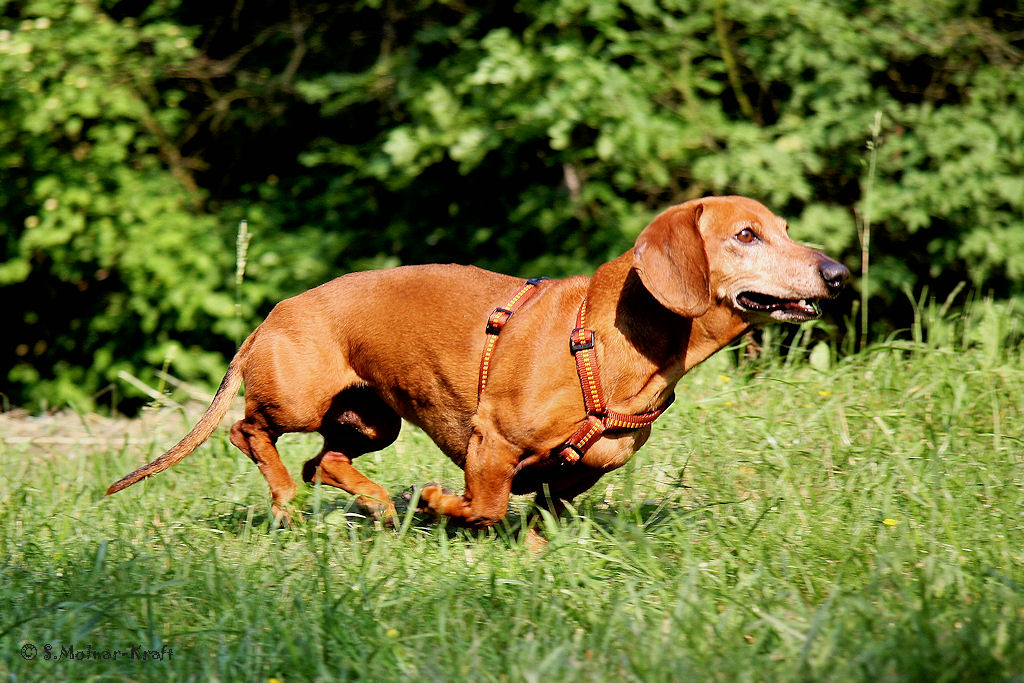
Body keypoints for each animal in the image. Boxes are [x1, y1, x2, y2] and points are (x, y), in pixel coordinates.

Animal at [105, 196, 847, 528]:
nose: (838, 274)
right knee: (250, 432)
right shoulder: (491, 443)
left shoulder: (577, 469)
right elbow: (485, 504)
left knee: (326, 461)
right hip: (299, 397)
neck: (609, 338)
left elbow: (546, 499)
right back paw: (290, 497)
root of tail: (272, 314)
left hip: (373, 422)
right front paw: (442, 502)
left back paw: (378, 502)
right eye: (746, 234)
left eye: (784, 229)